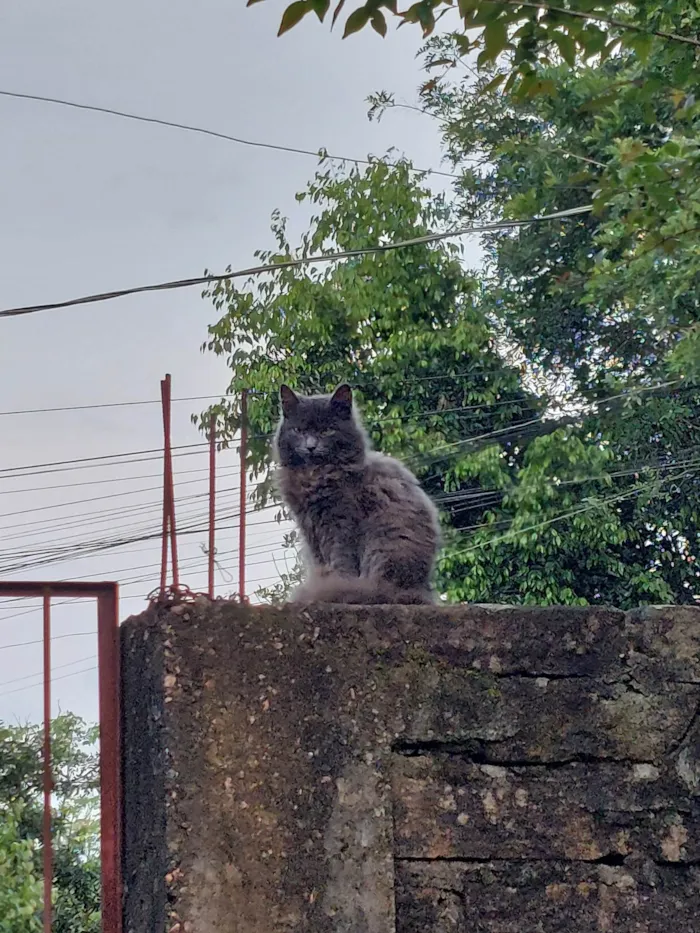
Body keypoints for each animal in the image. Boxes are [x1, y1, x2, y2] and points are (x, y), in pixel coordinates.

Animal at [272, 380, 440, 604]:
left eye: (327, 431)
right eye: (298, 430)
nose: (311, 446)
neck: (315, 475)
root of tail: (417, 590)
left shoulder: (340, 523)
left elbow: (340, 560)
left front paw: (333, 584)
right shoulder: (309, 527)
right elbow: (321, 562)